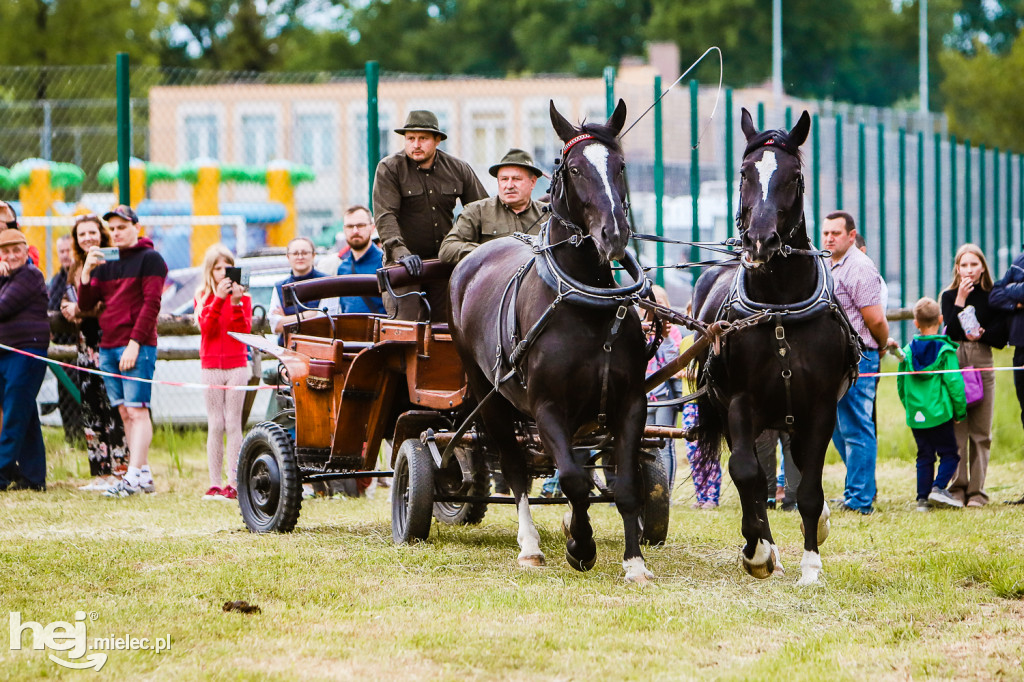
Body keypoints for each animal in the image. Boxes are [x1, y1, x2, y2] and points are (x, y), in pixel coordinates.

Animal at [450, 98, 655, 581]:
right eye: (575, 168)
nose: (614, 234)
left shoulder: (631, 403)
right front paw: (580, 546)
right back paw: (529, 545)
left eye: (619, 165)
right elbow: (574, 480)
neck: (585, 304)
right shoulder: (546, 408)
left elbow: (627, 484)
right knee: (515, 466)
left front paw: (634, 561)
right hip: (489, 396)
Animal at [692, 107, 860, 585]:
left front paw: (811, 564)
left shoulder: (820, 407)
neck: (780, 308)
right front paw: (758, 551)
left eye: (794, 177)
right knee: (753, 473)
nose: (760, 240)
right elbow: (747, 473)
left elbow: (809, 487)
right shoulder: (739, 402)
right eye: (745, 172)